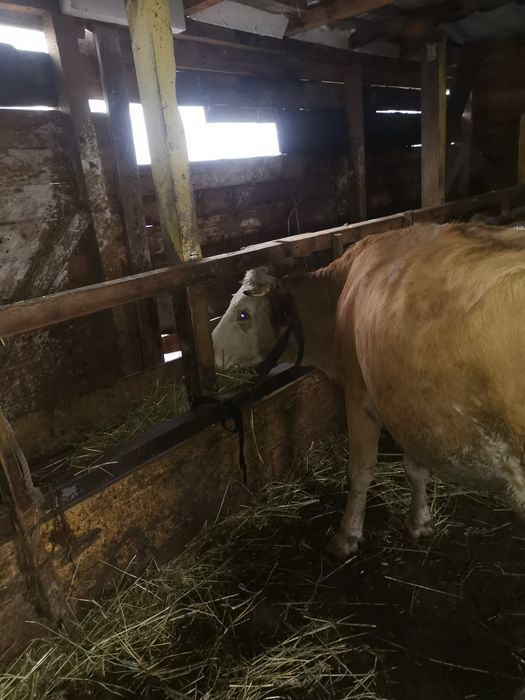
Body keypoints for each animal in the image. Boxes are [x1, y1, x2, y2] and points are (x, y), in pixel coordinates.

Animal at [212, 222, 525, 559]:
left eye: (243, 314)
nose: (211, 350)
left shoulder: (359, 397)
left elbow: (360, 470)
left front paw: (346, 536)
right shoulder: (408, 407)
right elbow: (416, 467)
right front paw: (420, 522)